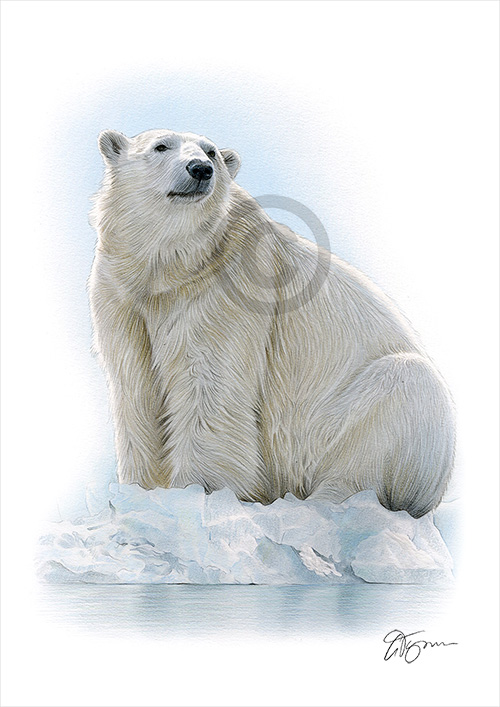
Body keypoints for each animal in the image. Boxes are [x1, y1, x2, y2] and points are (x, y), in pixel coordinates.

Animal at [89, 128, 455, 518]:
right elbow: (135, 386)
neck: (173, 267)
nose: (200, 168)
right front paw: (139, 491)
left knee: (398, 397)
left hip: (349, 428)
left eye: (211, 152)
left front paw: (198, 491)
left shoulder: (226, 290)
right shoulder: (122, 297)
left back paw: (326, 503)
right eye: (161, 146)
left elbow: (208, 385)